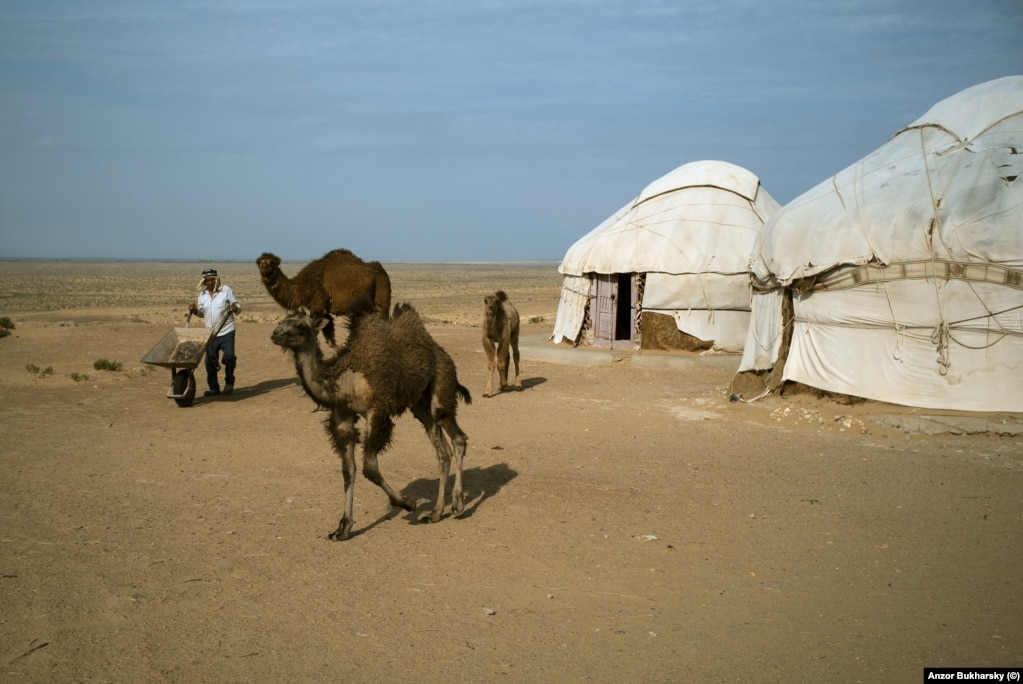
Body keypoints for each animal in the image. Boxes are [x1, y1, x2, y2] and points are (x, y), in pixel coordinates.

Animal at [274, 304, 476, 539]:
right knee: (443, 452)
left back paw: (458, 505)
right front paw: (342, 528)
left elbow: (369, 468)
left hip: (441, 386)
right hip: (420, 405)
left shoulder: (378, 411)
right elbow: (348, 470)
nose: (275, 334)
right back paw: (435, 513)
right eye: (281, 321)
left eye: (301, 325)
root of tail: (442, 354)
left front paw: (407, 503)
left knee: (456, 436)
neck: (345, 380)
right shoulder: (342, 416)